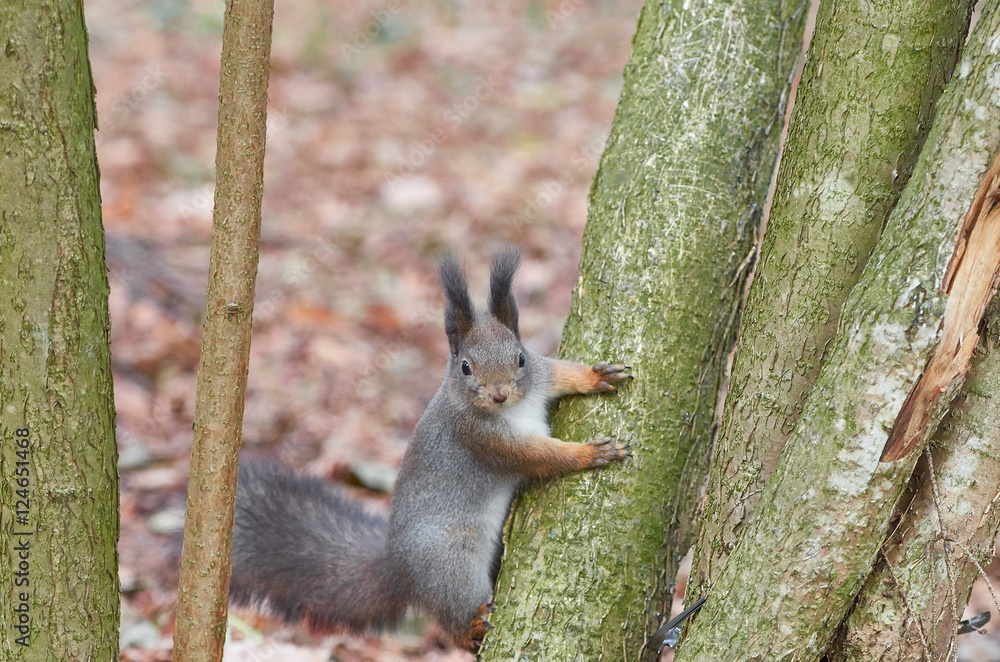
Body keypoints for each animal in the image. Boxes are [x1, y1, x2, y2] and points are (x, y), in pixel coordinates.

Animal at [229, 247, 632, 651]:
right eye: (466, 367)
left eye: (520, 357)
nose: (499, 394)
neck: (514, 408)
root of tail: (399, 569)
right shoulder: (483, 439)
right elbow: (540, 456)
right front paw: (590, 453)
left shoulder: (540, 374)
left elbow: (563, 374)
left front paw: (598, 375)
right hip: (450, 565)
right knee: (452, 617)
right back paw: (472, 629)